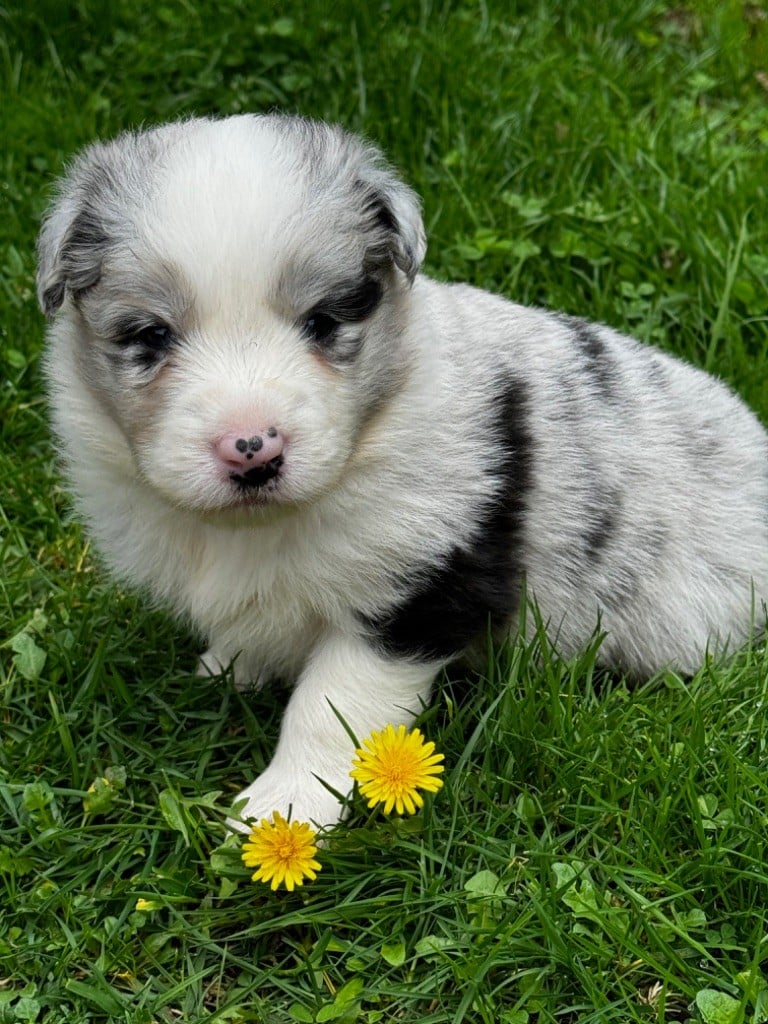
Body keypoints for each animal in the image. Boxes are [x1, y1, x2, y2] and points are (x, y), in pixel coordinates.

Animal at [36, 114, 768, 831]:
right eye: (151, 336)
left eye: (323, 321)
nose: (253, 450)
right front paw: (226, 670)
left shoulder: (420, 583)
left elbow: (331, 703)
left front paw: (284, 808)